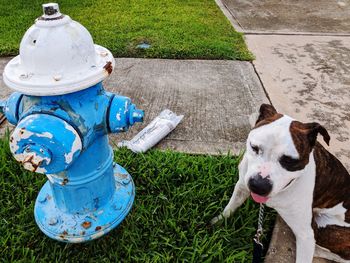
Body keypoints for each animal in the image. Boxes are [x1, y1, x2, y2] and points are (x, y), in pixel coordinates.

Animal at [212, 104, 348, 263]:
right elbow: (230, 207)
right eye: (254, 147)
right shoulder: (242, 185)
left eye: (290, 161)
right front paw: (217, 222)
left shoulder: (306, 235)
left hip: (328, 229)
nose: (259, 185)